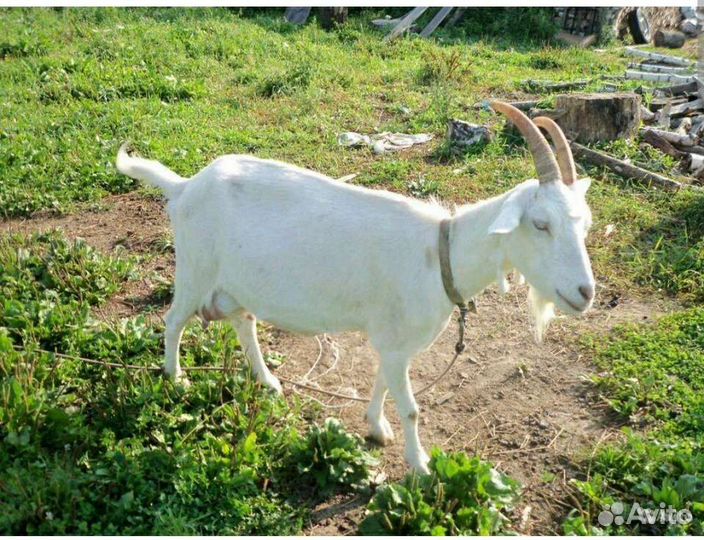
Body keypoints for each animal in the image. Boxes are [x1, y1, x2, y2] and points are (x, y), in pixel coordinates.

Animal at [116, 101, 595, 473]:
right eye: (540, 224)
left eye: (586, 223)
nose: (585, 292)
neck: (440, 253)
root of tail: (184, 186)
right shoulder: (396, 341)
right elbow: (411, 408)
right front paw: (421, 466)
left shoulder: (392, 340)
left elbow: (382, 382)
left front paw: (377, 429)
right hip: (194, 269)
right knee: (173, 321)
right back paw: (175, 379)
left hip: (235, 282)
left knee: (243, 322)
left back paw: (267, 382)